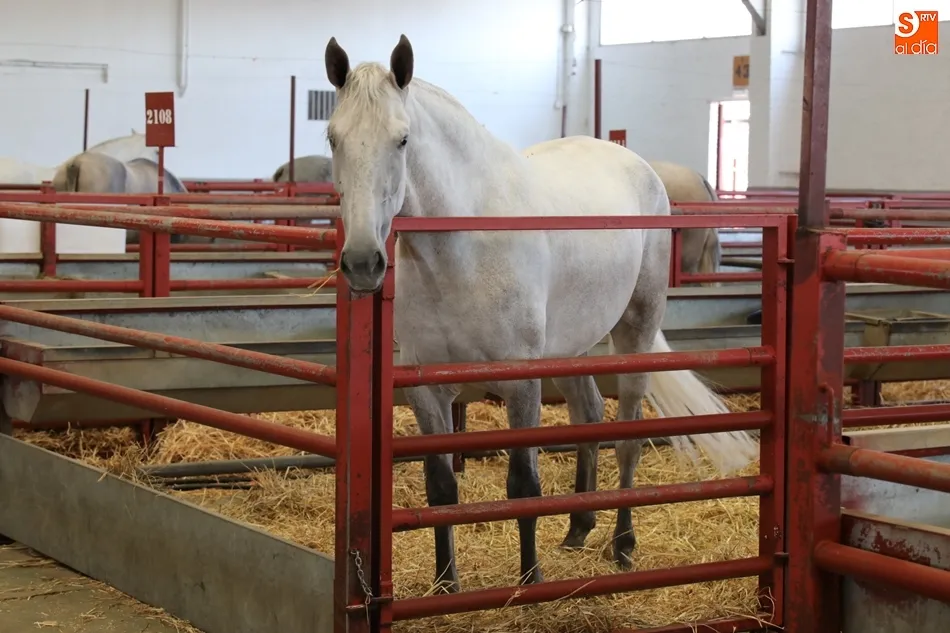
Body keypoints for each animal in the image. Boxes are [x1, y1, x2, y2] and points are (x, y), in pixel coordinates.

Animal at [323, 35, 759, 592]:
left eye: (401, 140)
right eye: (334, 138)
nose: (362, 262)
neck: (461, 245)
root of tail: (638, 165)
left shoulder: (521, 382)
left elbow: (523, 482)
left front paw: (529, 581)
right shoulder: (426, 387)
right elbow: (440, 488)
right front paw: (446, 585)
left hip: (635, 331)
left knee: (627, 436)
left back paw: (622, 544)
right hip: (572, 347)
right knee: (588, 413)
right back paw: (578, 526)